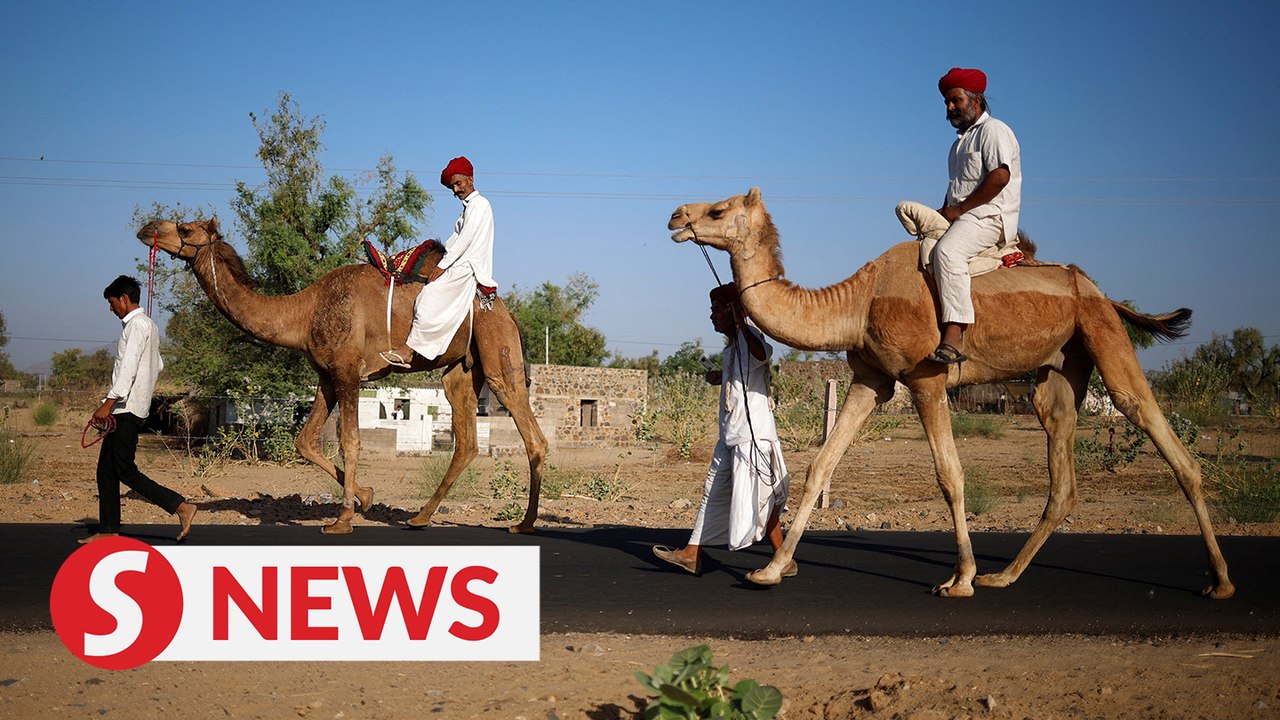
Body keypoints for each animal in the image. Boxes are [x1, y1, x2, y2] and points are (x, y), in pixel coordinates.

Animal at [137, 218, 547, 535]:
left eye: (185, 228)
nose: (147, 228)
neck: (304, 312)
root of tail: (508, 313)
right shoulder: (326, 375)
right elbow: (304, 441)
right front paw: (366, 497)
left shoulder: (348, 371)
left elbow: (351, 442)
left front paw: (343, 518)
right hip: (462, 370)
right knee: (467, 442)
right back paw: (420, 517)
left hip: (497, 352)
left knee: (533, 436)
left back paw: (524, 524)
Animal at [668, 187, 1233, 599]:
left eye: (718, 209)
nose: (676, 215)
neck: (859, 302)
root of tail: (1101, 291)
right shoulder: (871, 378)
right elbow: (821, 466)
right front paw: (769, 571)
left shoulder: (926, 379)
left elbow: (950, 475)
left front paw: (959, 580)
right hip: (1060, 369)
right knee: (1061, 466)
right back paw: (1004, 576)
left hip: (1103, 334)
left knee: (1151, 422)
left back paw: (1220, 581)